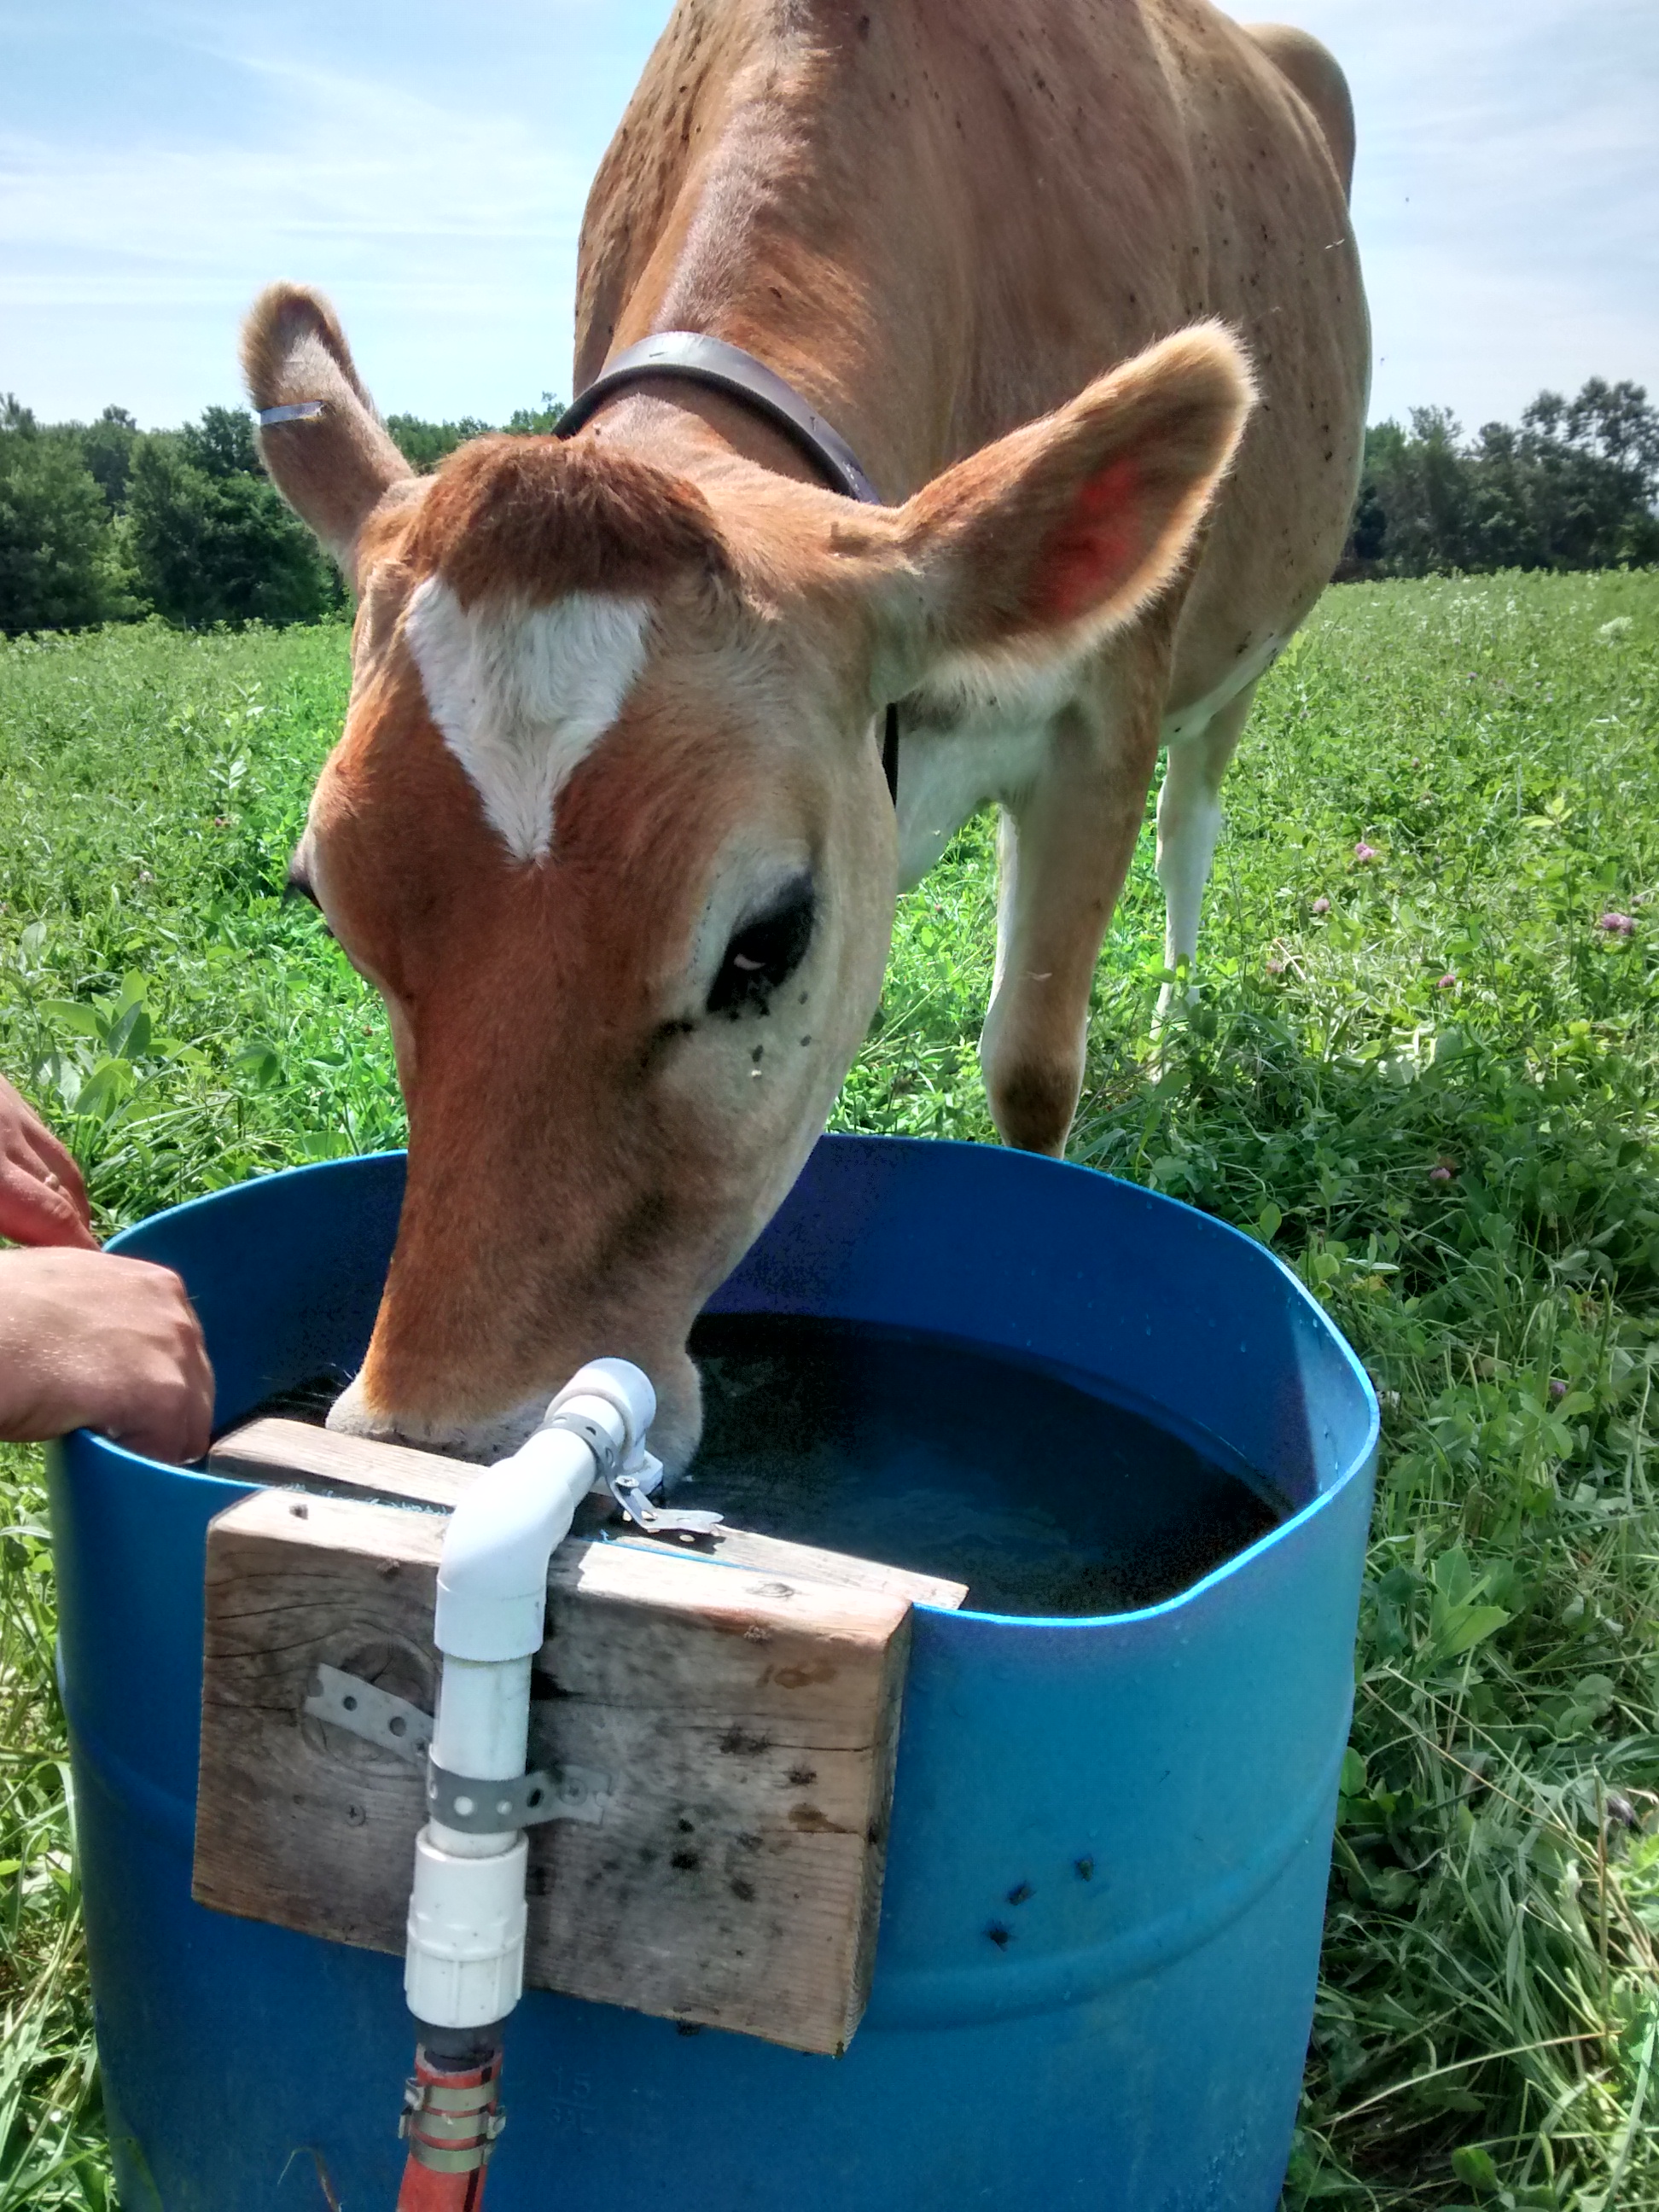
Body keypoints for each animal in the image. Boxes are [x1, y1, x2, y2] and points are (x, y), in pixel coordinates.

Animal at [243, 4, 1362, 1486]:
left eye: (765, 940)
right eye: (328, 904)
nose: (443, 1439)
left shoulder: (1100, 717)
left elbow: (1033, 1068)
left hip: (1247, 650)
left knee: (1196, 820)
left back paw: (1179, 1027)